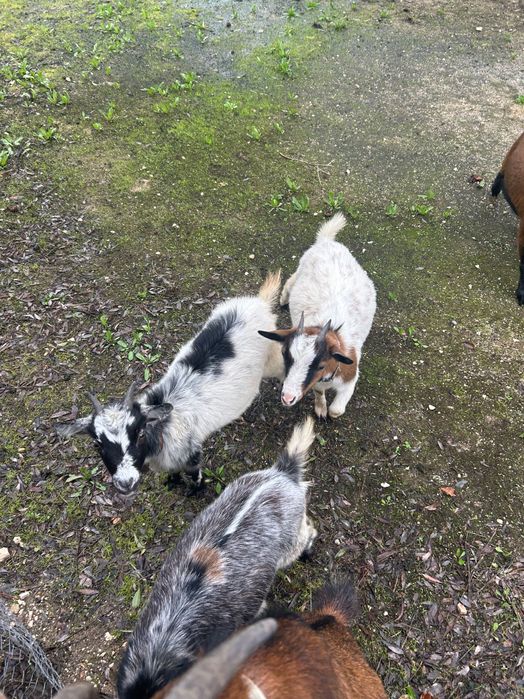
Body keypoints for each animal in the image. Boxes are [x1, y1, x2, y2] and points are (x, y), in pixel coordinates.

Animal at [56, 272, 284, 494]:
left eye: (140, 434)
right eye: (97, 444)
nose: (126, 483)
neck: (164, 426)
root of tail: (260, 302)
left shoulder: (191, 453)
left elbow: (194, 474)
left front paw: (196, 490)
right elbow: (173, 473)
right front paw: (173, 482)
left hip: (272, 358)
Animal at [259, 213, 376, 419]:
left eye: (321, 365)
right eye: (285, 355)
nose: (287, 398)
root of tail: (326, 242)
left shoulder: (350, 378)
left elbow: (337, 410)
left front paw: (329, 414)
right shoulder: (317, 383)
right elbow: (320, 393)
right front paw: (321, 409)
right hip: (303, 265)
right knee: (292, 279)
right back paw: (283, 298)